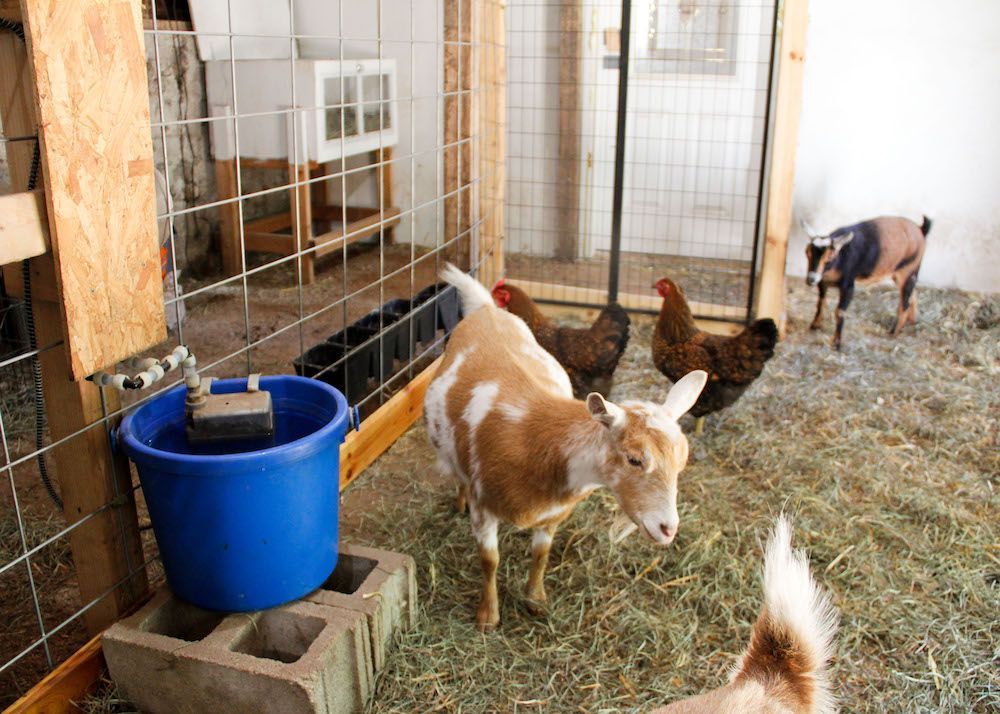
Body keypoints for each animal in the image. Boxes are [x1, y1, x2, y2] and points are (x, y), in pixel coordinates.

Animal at [424, 264, 707, 631]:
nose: (668, 529)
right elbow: (490, 560)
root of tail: (487, 309)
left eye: (681, 463)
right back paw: (459, 502)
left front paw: (535, 600)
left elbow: (540, 555)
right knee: (456, 473)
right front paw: (488, 616)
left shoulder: (553, 516)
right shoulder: (484, 507)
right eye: (633, 458)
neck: (539, 441)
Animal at [803, 215, 931, 350]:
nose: (811, 279)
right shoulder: (823, 282)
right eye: (807, 253)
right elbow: (820, 302)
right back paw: (912, 321)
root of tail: (920, 230)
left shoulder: (848, 284)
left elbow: (840, 312)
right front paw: (814, 325)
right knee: (912, 294)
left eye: (830, 257)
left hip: (907, 270)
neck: (842, 257)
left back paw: (894, 332)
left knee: (905, 301)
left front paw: (837, 343)